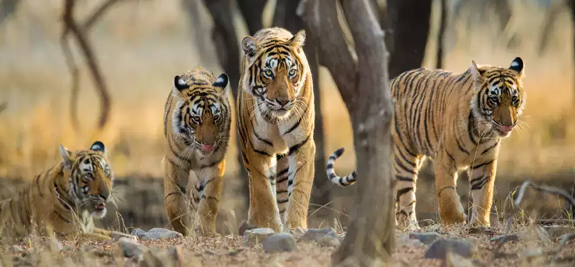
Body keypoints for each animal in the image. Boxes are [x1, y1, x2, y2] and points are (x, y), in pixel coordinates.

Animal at [162, 66, 230, 237]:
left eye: (216, 117)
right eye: (196, 119)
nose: (209, 144)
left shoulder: (214, 165)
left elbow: (209, 201)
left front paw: (206, 232)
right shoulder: (175, 162)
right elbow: (174, 201)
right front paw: (182, 230)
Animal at [236, 27, 354, 232]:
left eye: (291, 73)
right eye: (269, 73)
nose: (283, 101)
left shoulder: (302, 144)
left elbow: (299, 188)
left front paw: (294, 226)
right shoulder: (256, 149)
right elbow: (263, 192)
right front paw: (269, 226)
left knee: (282, 191)